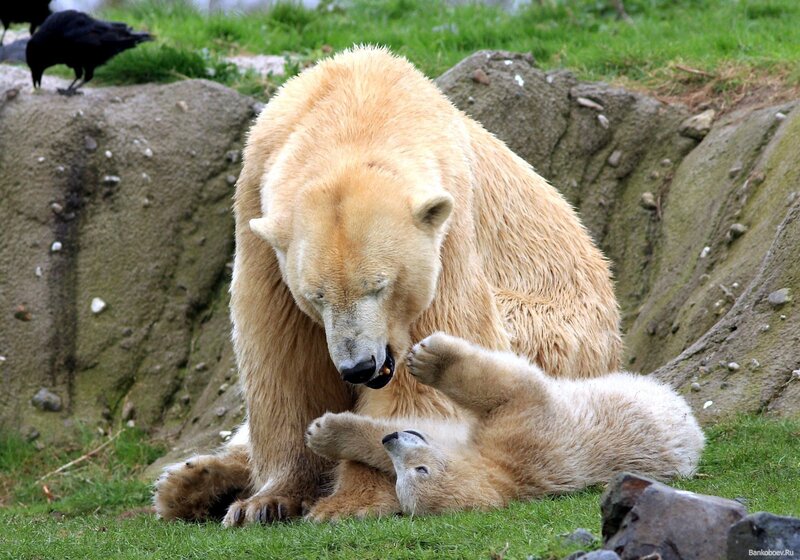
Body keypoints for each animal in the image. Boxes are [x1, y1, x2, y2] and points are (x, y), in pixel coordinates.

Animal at [153, 46, 622, 525]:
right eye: (317, 295)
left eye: (379, 286)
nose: (359, 367)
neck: (360, 103)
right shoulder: (257, 214)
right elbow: (285, 358)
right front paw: (264, 502)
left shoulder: (446, 231)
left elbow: (424, 381)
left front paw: (350, 499)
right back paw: (190, 482)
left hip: (552, 334)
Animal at [305, 332, 705, 515]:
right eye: (401, 478)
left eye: (420, 471)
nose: (393, 441)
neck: (509, 476)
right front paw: (324, 434)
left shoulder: (525, 433)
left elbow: (509, 389)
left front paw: (430, 359)